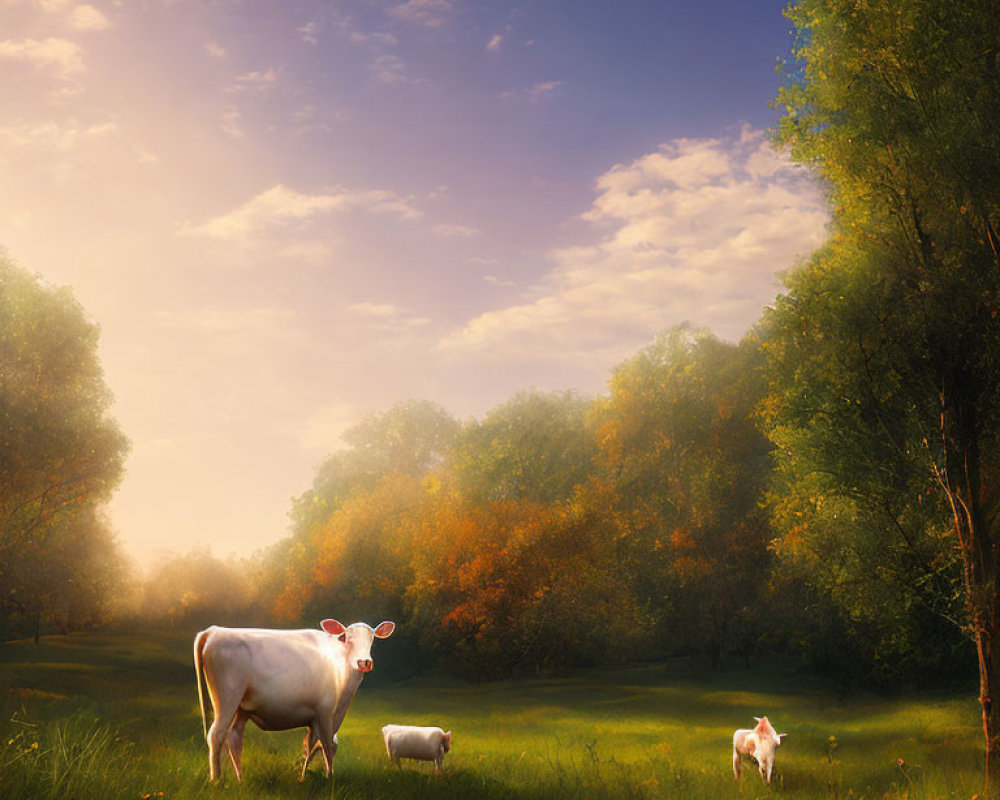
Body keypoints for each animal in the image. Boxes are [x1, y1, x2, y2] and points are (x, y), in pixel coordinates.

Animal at [193, 620, 396, 780]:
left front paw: (303, 776)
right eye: (346, 637)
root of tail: (215, 631)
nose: (364, 662)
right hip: (227, 697)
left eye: (372, 639)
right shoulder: (325, 711)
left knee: (234, 737)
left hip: (241, 709)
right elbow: (327, 745)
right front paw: (329, 777)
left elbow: (311, 745)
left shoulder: (315, 718)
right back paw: (216, 780)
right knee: (216, 734)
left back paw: (239, 780)